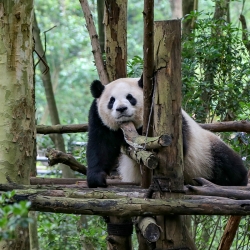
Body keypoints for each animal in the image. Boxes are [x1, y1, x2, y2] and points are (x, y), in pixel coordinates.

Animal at [86, 76, 248, 188]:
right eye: (111, 101)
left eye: (130, 97)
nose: (121, 109)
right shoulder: (99, 119)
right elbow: (101, 146)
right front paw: (97, 179)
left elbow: (179, 146)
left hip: (205, 153)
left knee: (227, 162)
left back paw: (239, 179)